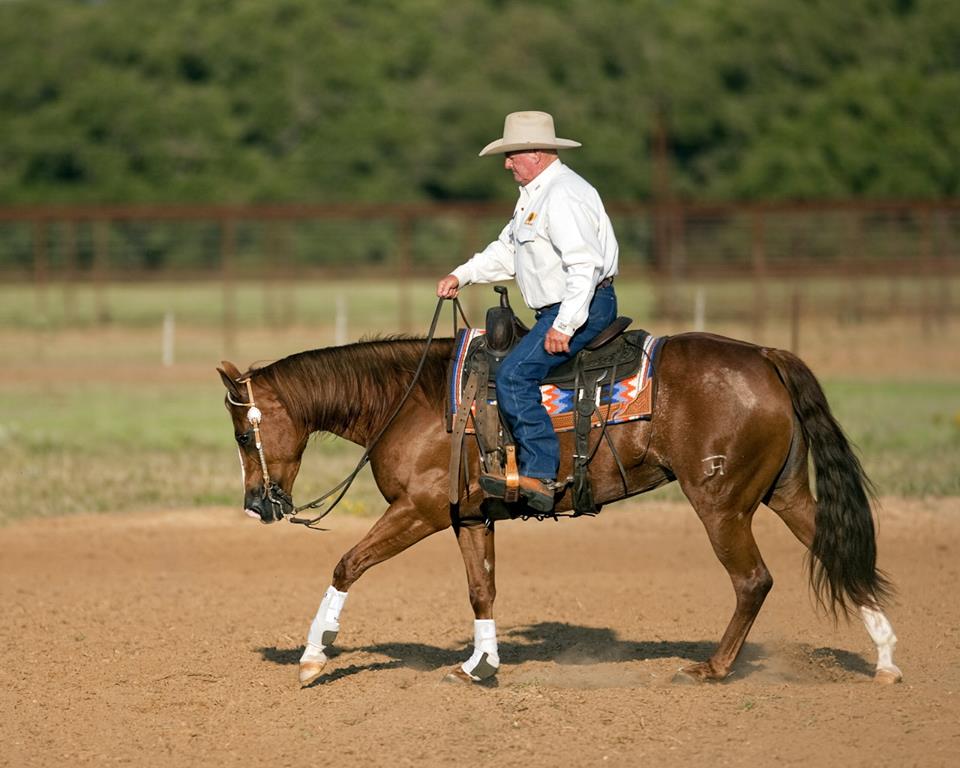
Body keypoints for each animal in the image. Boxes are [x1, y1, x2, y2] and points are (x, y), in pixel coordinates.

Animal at [216, 322, 900, 684]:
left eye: (245, 434)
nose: (257, 506)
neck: (414, 400)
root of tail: (764, 355)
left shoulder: (419, 511)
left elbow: (347, 565)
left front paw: (311, 658)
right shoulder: (470, 516)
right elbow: (482, 590)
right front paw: (481, 664)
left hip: (721, 502)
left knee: (754, 580)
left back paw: (711, 668)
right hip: (784, 492)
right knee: (839, 554)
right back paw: (886, 660)